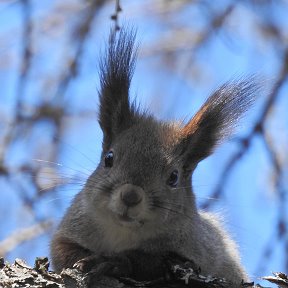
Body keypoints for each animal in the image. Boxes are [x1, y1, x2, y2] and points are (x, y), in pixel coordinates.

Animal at [50, 27, 258, 286]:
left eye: (174, 177)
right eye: (109, 158)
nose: (130, 196)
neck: (124, 232)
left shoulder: (196, 252)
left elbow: (149, 263)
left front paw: (113, 261)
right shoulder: (71, 228)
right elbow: (63, 252)